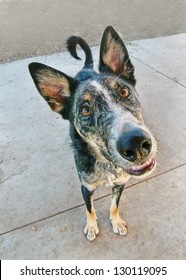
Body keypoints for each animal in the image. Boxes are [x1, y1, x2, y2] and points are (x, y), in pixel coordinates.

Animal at [28, 25, 157, 241]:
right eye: (85, 110)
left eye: (124, 92)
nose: (137, 144)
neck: (106, 164)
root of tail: (86, 67)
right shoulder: (85, 188)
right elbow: (90, 209)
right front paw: (91, 226)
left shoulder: (120, 183)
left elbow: (114, 205)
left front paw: (116, 222)